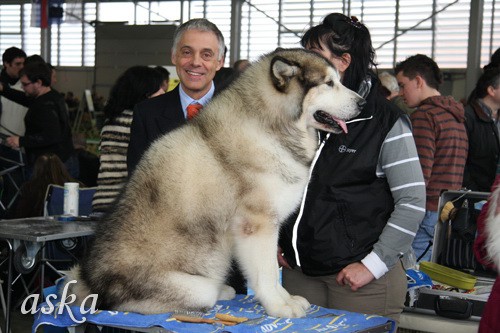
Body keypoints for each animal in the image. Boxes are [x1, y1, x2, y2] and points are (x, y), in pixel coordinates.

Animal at [68, 48, 362, 316]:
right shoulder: (256, 224)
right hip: (190, 286)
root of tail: (91, 283)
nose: (362, 103)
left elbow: (270, 270)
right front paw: (279, 306)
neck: (270, 127)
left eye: (338, 79)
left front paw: (285, 299)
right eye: (329, 83)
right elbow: (266, 273)